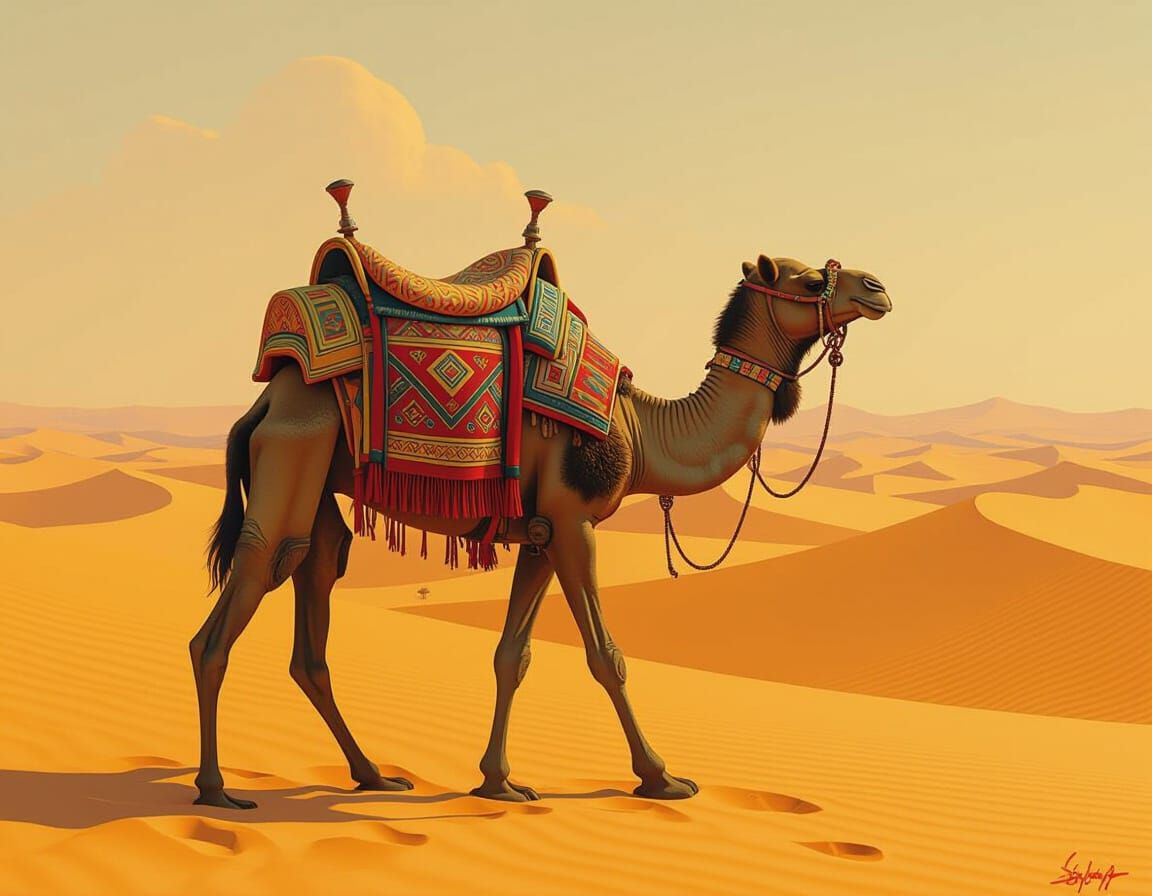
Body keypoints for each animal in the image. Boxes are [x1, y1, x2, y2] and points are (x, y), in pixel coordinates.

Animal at [189, 251, 892, 809]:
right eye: (810, 282)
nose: (877, 287)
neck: (642, 429)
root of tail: (268, 397)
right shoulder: (576, 522)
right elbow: (606, 656)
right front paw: (662, 779)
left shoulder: (542, 531)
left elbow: (513, 656)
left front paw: (498, 782)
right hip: (296, 450)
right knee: (240, 600)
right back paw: (217, 789)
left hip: (315, 479)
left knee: (314, 597)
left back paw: (373, 776)